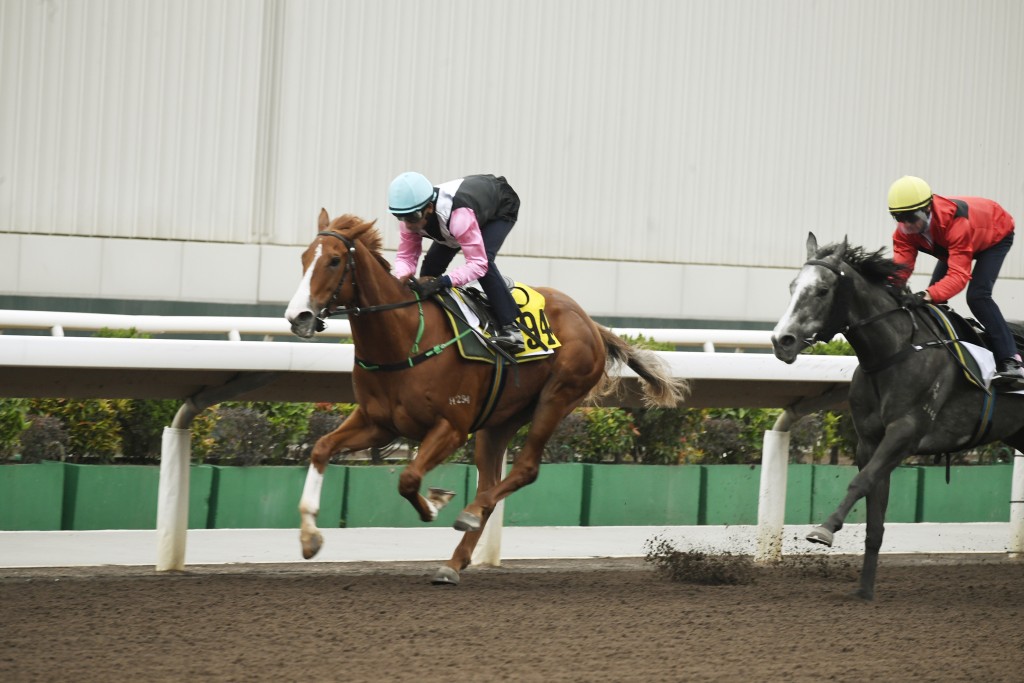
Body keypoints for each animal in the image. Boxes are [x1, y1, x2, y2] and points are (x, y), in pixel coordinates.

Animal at [286, 210, 688, 585]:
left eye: (334, 260)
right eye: (304, 257)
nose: (298, 316)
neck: (404, 338)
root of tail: (591, 322)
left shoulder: (452, 427)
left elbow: (409, 479)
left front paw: (434, 505)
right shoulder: (378, 422)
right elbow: (321, 448)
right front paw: (309, 538)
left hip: (556, 398)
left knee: (524, 470)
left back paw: (468, 514)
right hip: (499, 421)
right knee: (491, 485)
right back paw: (454, 561)